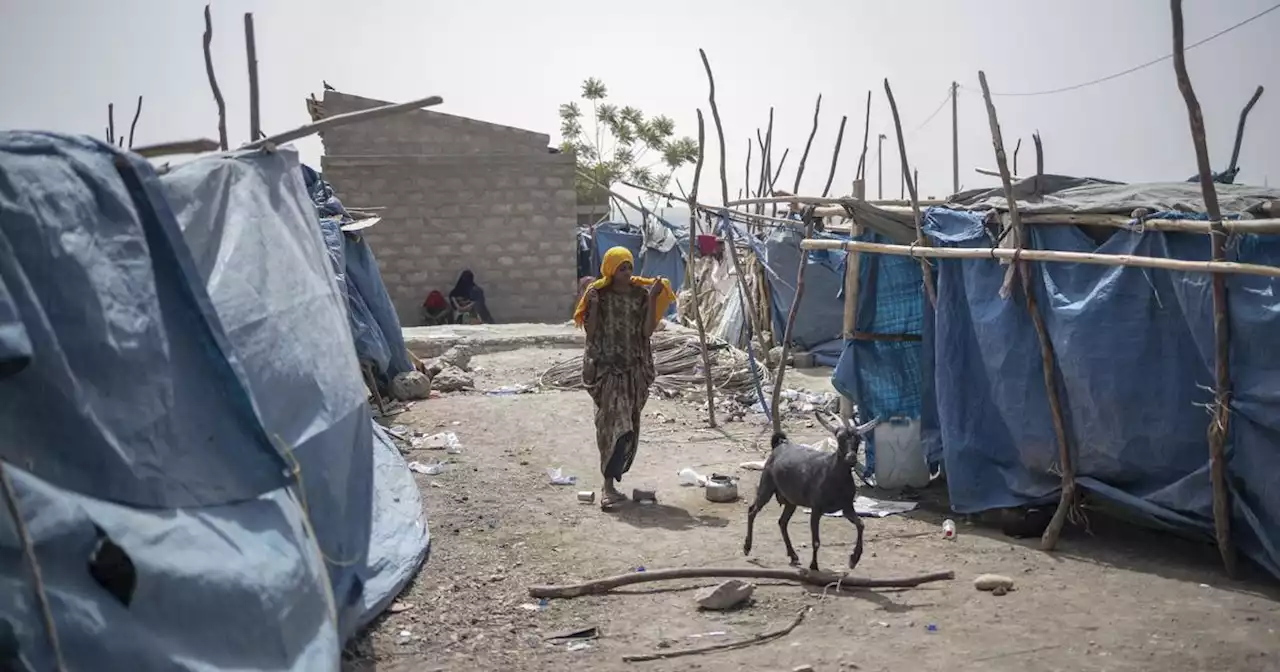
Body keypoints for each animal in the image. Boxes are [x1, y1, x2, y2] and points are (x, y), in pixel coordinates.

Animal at [742, 412, 880, 568]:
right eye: (840, 439)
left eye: (858, 439)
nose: (851, 458)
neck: (834, 476)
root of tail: (779, 446)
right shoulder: (816, 509)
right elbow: (816, 541)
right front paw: (814, 565)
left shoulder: (847, 508)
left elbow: (861, 525)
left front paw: (854, 559)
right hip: (766, 486)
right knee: (752, 510)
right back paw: (747, 547)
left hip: (791, 500)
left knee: (782, 522)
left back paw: (793, 555)